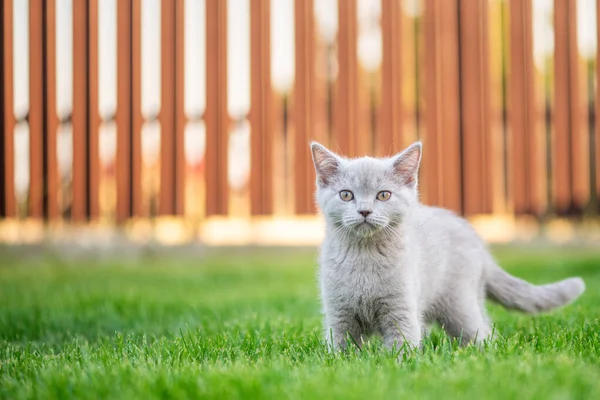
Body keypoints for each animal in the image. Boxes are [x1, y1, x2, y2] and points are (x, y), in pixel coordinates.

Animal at [312, 141, 584, 354]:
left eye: (383, 195)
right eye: (346, 195)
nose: (365, 211)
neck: (364, 256)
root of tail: (476, 240)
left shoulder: (401, 310)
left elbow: (401, 346)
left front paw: (395, 365)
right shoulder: (338, 315)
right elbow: (341, 349)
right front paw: (343, 364)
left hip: (460, 304)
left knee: (483, 334)